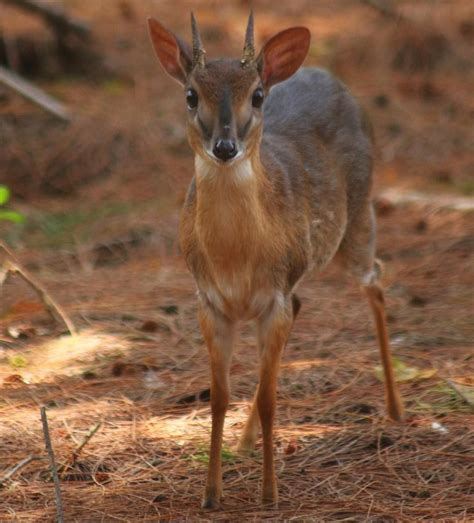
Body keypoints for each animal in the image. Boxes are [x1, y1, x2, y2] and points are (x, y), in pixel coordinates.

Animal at [148, 12, 404, 510]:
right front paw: (211, 494)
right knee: (316, 299)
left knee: (377, 282)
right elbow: (218, 398)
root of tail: (328, 75)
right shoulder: (210, 303)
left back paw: (396, 410)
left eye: (258, 95)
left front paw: (269, 494)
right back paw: (246, 442)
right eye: (190, 95)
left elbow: (268, 399)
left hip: (358, 216)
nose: (225, 146)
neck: (236, 260)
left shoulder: (274, 298)